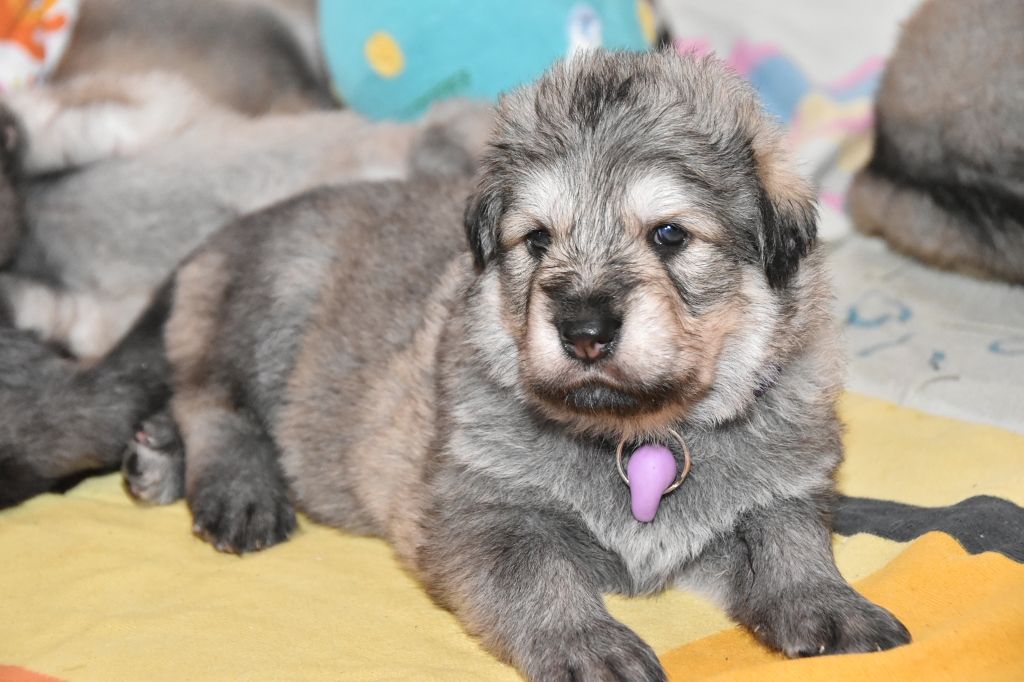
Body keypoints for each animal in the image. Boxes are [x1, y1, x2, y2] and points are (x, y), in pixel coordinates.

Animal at [104, 50, 911, 679]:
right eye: (537, 239)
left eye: (670, 235)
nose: (583, 329)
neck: (642, 435)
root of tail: (221, 237)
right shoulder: (485, 514)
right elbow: (539, 580)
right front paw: (587, 643)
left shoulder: (781, 492)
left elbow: (790, 545)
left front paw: (830, 606)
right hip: (276, 298)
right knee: (210, 400)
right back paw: (234, 488)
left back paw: (158, 457)